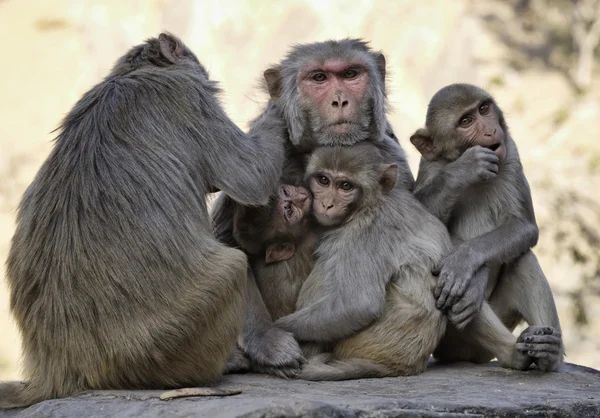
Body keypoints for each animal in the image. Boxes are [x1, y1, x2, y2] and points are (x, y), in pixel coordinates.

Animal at [0, 31, 286, 408]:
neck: (132, 74)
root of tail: (58, 367)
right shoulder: (189, 99)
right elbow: (252, 177)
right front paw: (280, 102)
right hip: (165, 342)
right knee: (233, 266)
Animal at [410, 83, 564, 370]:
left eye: (484, 109)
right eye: (466, 121)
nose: (491, 131)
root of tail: (466, 358)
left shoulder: (510, 151)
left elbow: (524, 227)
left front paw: (466, 263)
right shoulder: (431, 164)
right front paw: (464, 170)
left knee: (523, 259)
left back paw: (548, 353)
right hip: (446, 343)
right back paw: (515, 355)